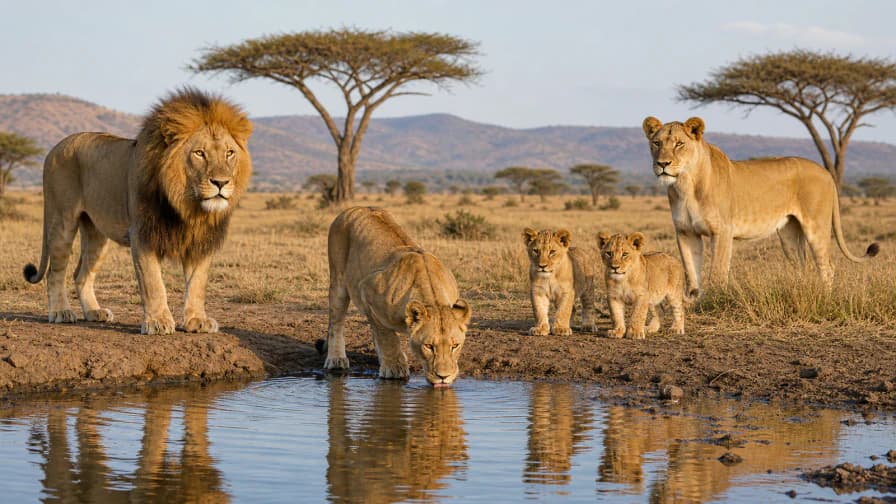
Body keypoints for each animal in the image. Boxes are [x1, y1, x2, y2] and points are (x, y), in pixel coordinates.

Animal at [23, 87, 252, 335]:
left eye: (229, 153)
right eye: (199, 153)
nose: (221, 182)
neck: (188, 206)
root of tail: (53, 149)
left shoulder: (199, 239)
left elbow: (197, 282)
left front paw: (196, 320)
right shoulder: (142, 233)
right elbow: (153, 282)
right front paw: (158, 322)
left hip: (97, 234)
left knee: (81, 274)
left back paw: (94, 312)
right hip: (62, 219)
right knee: (55, 272)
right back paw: (60, 312)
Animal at [325, 206, 472, 386]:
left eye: (455, 346)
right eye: (429, 346)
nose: (443, 377)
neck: (433, 299)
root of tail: (355, 208)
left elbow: (381, 335)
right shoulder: (367, 290)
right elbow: (387, 337)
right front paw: (394, 369)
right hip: (338, 280)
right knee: (336, 322)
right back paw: (336, 360)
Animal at [642, 116, 878, 293]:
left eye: (679, 144)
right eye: (657, 143)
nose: (662, 164)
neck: (685, 184)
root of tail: (827, 172)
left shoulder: (723, 231)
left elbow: (717, 273)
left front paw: (714, 301)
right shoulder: (685, 232)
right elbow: (691, 273)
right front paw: (693, 303)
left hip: (816, 227)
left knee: (827, 266)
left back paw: (823, 297)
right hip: (789, 235)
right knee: (802, 265)